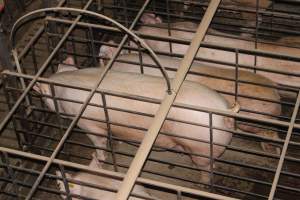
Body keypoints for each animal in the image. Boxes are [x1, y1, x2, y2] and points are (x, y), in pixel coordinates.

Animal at [34, 57, 238, 184]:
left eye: (43, 96)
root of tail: (224, 112)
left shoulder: (86, 122)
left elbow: (99, 141)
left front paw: (96, 157)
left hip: (200, 146)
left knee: (207, 167)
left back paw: (201, 182)